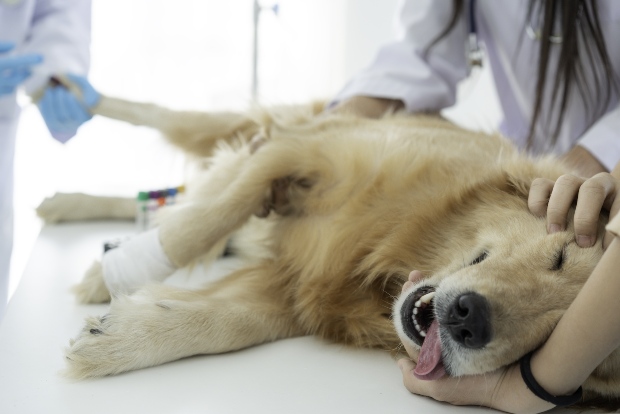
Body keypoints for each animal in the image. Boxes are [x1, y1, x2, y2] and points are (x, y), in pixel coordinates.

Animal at [55, 85, 616, 410]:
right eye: (560, 255)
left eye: (557, 335)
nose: (469, 320)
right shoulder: (301, 148)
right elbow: (209, 217)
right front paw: (110, 276)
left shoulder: (294, 289)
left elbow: (229, 323)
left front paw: (118, 337)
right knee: (163, 122)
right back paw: (69, 96)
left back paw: (70, 204)